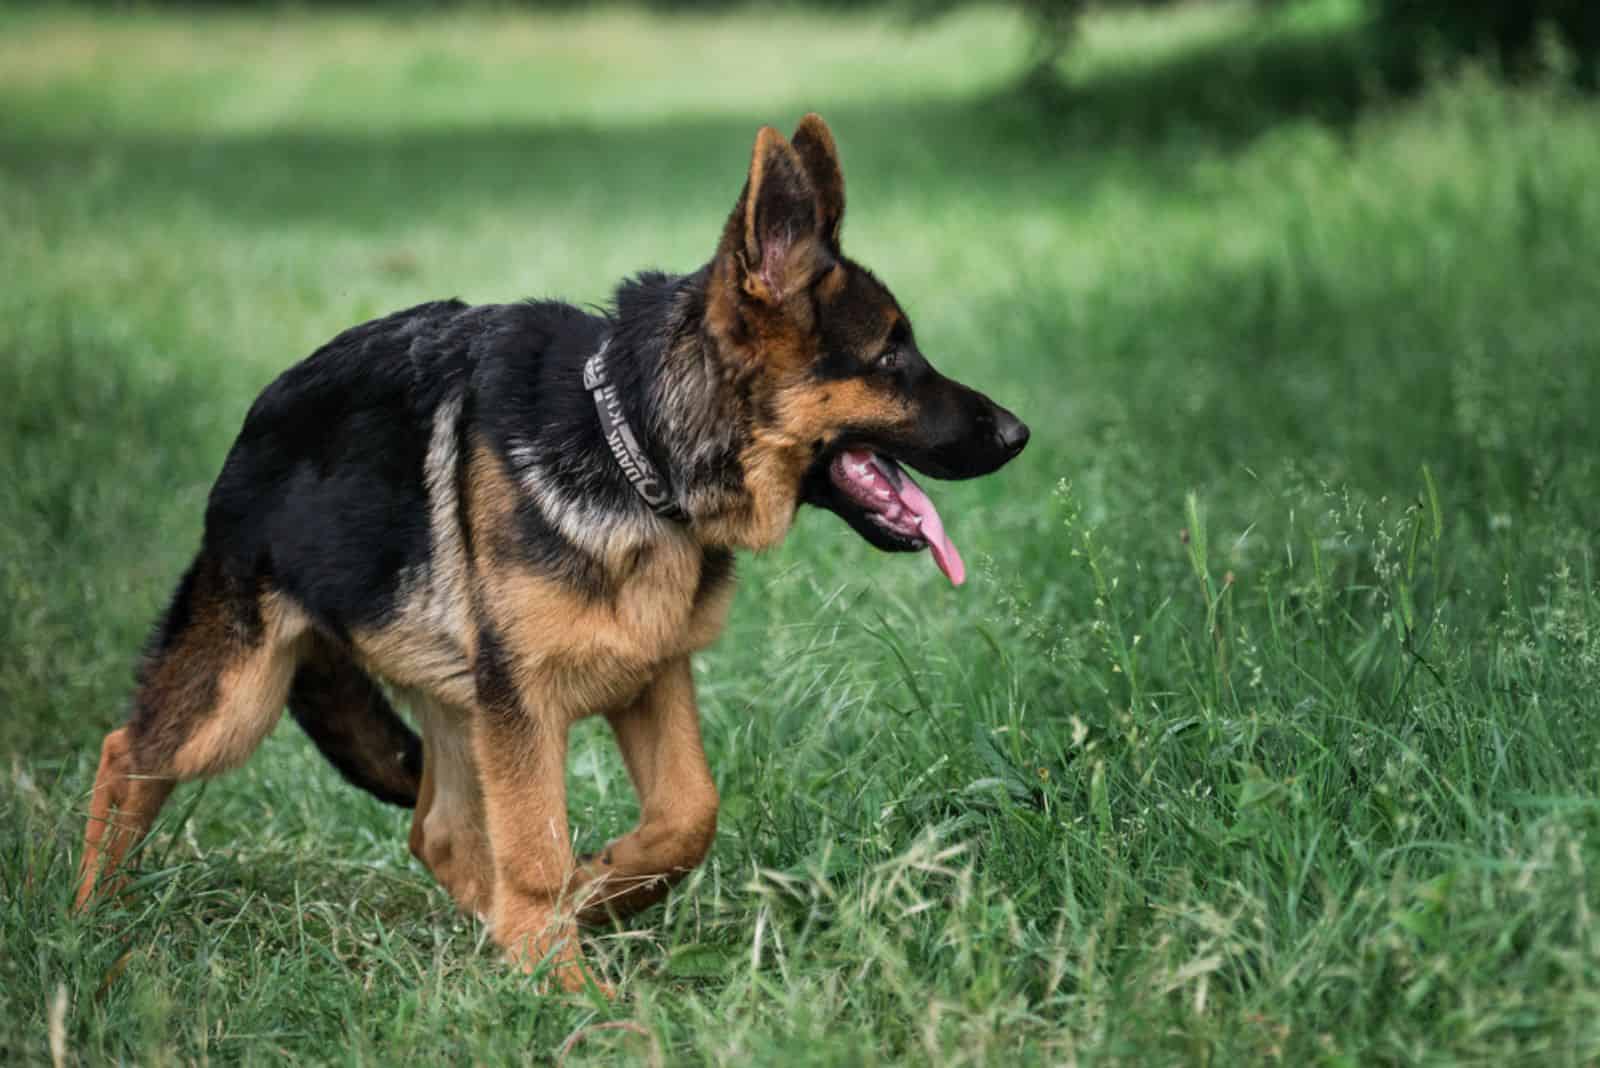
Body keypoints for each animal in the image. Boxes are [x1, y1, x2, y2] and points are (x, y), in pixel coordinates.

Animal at [75, 112, 1024, 991]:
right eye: (892, 355)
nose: (1018, 434)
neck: (633, 446)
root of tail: (256, 420)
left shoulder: (650, 676)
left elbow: (689, 815)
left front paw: (596, 895)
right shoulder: (524, 703)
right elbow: (536, 850)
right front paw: (570, 989)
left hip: (455, 697)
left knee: (440, 830)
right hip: (241, 695)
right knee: (128, 754)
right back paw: (87, 923)